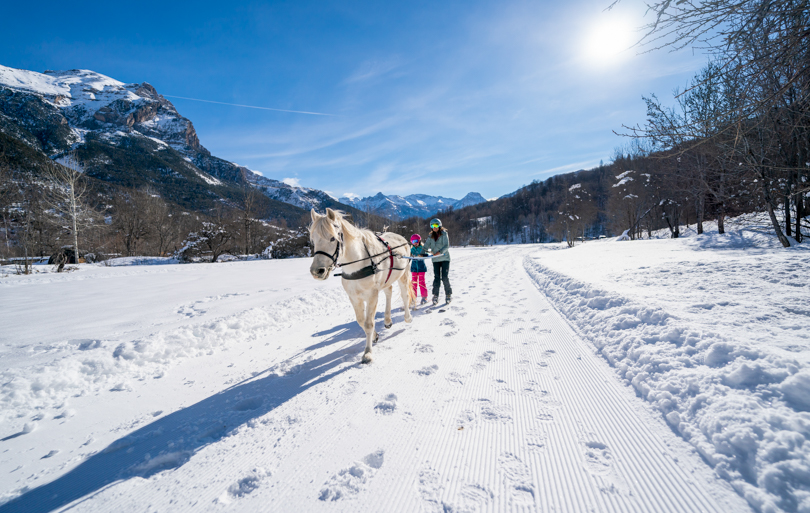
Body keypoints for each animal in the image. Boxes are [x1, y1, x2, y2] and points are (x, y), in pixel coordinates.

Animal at [306, 206, 414, 362]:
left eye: (332, 238)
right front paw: (374, 336)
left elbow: (368, 323)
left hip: (403, 274)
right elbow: (361, 321)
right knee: (389, 291)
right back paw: (387, 320)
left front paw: (368, 353)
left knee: (405, 295)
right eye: (313, 239)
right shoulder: (354, 297)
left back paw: (407, 317)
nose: (317, 271)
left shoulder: (372, 296)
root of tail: (402, 238)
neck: (357, 265)